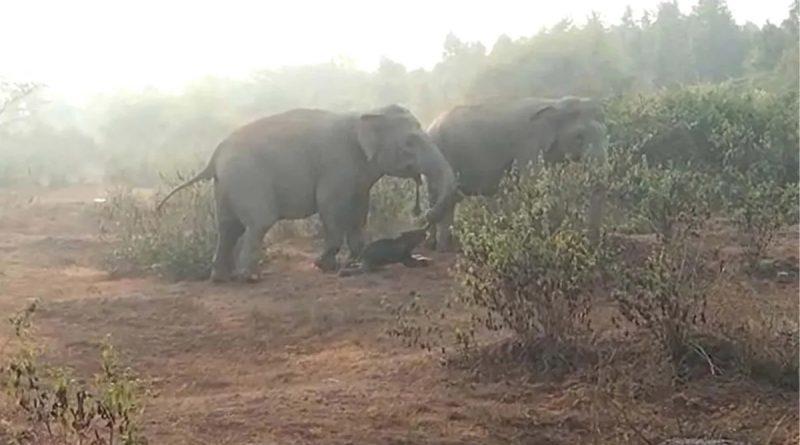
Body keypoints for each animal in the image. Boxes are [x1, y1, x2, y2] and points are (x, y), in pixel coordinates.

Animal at [156, 104, 458, 282]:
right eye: (410, 142)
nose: (424, 214)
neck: (366, 112)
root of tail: (215, 154)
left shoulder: (359, 174)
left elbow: (360, 209)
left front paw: (355, 258)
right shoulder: (337, 164)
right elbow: (331, 207)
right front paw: (325, 266)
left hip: (227, 184)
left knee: (228, 227)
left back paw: (220, 278)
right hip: (247, 179)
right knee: (258, 223)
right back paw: (249, 278)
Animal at [421, 96, 608, 251]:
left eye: (605, 133)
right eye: (579, 137)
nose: (593, 243)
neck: (554, 103)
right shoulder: (528, 147)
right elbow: (532, 184)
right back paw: (440, 247)